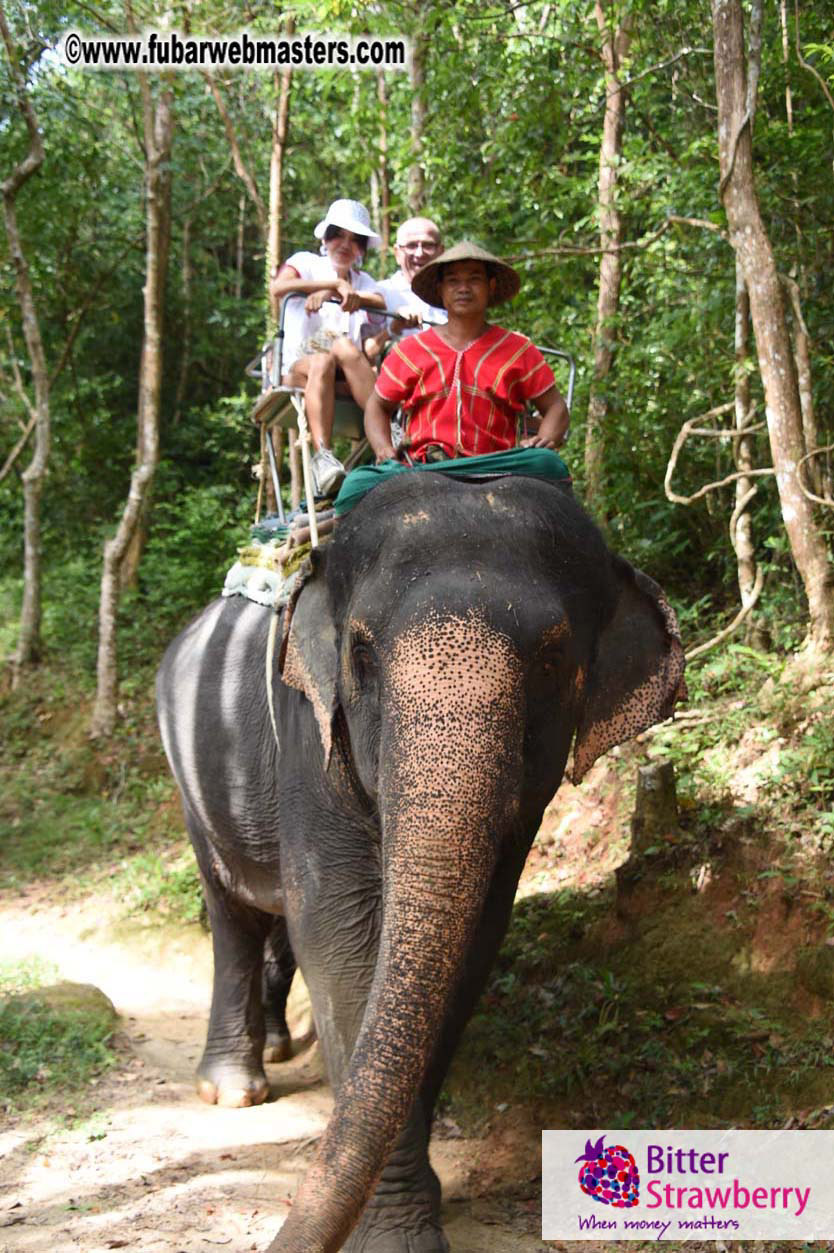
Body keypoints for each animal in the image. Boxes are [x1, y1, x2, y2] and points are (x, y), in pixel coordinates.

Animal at [156, 470, 685, 1252]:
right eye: (361, 655)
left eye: (552, 660)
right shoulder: (313, 736)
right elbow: (340, 938)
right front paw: (394, 1234)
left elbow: (464, 948)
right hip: (191, 774)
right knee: (234, 913)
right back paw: (233, 1089)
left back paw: (277, 1049)